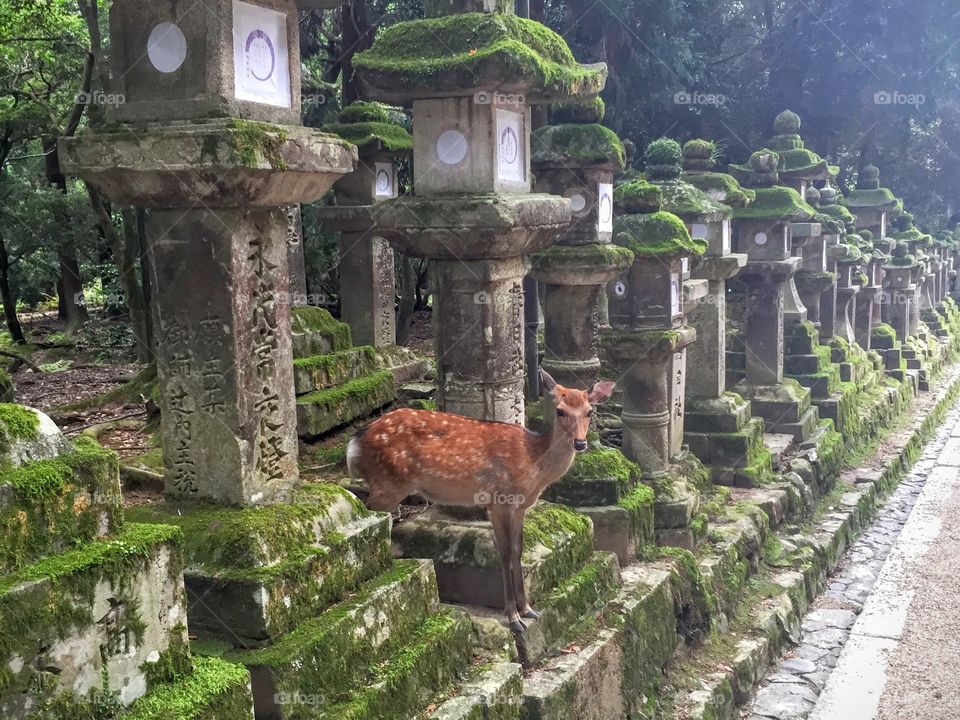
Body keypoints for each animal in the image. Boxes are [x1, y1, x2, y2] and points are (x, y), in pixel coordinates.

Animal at [347, 369, 616, 633]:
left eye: (590, 411)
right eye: (560, 411)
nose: (580, 443)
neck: (534, 464)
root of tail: (354, 443)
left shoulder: (521, 507)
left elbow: (518, 550)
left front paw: (528, 609)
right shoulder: (498, 500)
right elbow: (504, 553)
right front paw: (513, 618)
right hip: (387, 483)